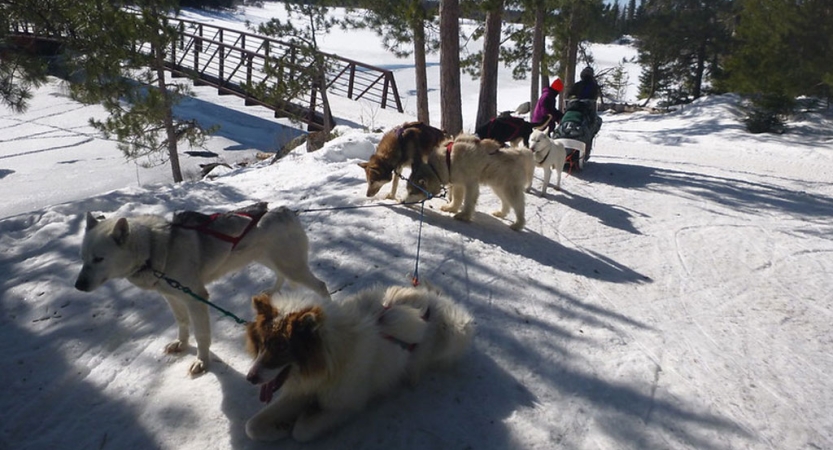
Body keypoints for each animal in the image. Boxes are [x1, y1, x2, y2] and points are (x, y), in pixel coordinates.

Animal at [74, 202, 328, 374]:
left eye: (99, 259)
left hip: (292, 267)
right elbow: (182, 324)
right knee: (280, 277)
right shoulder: (173, 297)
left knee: (322, 286)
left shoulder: (195, 298)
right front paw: (181, 344)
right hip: (271, 261)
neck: (153, 249)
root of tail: (286, 210)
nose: (78, 285)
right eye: (83, 258)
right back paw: (272, 292)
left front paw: (202, 361)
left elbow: (202, 335)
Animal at [244, 284, 472, 442]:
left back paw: (413, 375)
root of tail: (435, 300)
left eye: (282, 347)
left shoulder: (346, 406)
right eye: (262, 344)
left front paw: (295, 421)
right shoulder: (304, 390)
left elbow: (302, 431)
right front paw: (280, 426)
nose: (250, 377)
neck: (331, 361)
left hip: (455, 330)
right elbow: (251, 426)